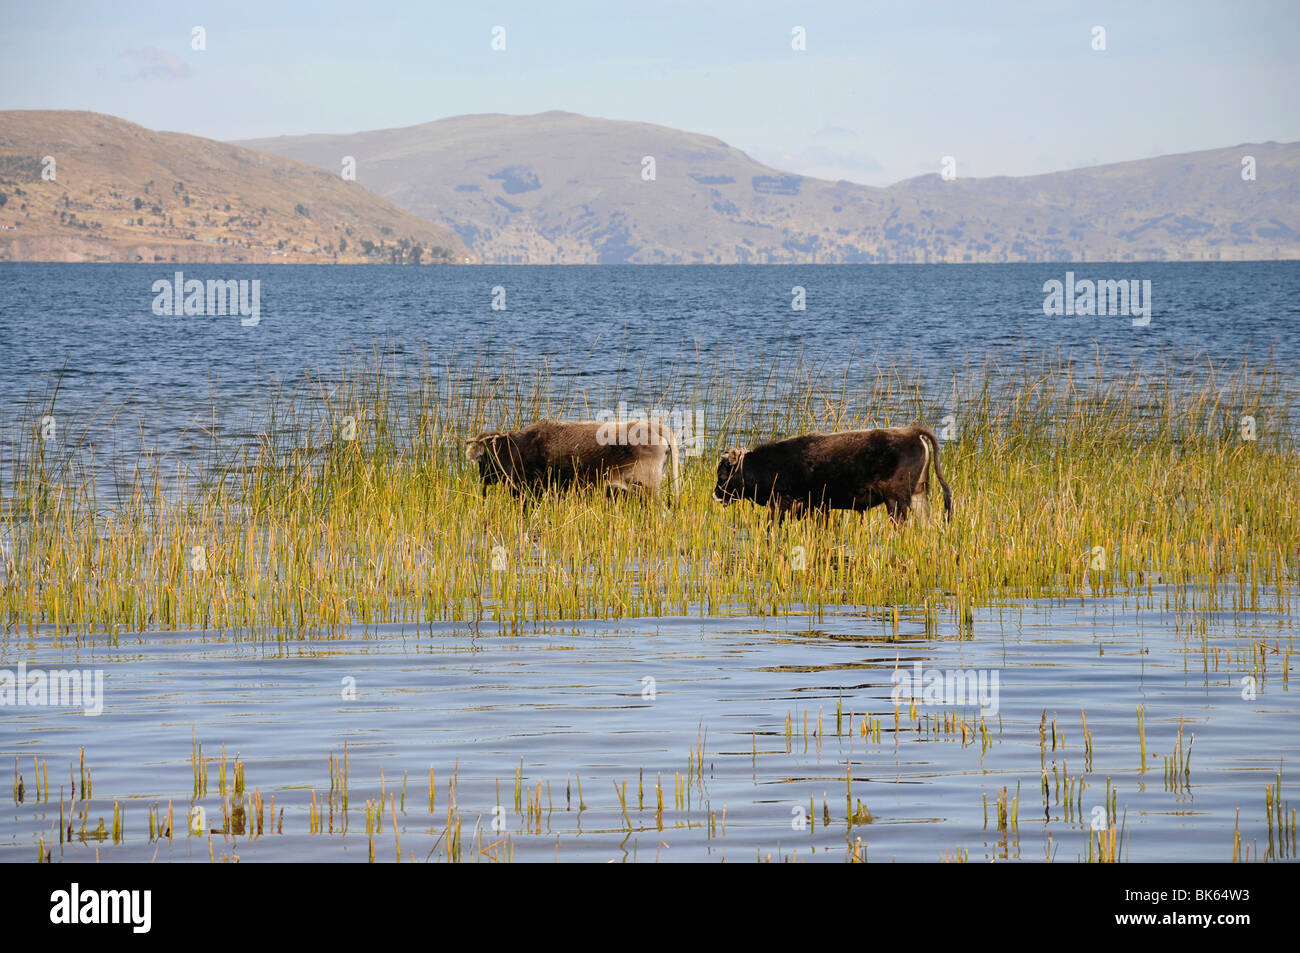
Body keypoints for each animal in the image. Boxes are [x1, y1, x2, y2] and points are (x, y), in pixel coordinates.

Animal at [712, 425, 952, 524]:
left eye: (723, 474)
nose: (715, 494)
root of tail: (912, 432)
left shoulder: (784, 504)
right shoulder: (817, 507)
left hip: (896, 500)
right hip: (918, 496)